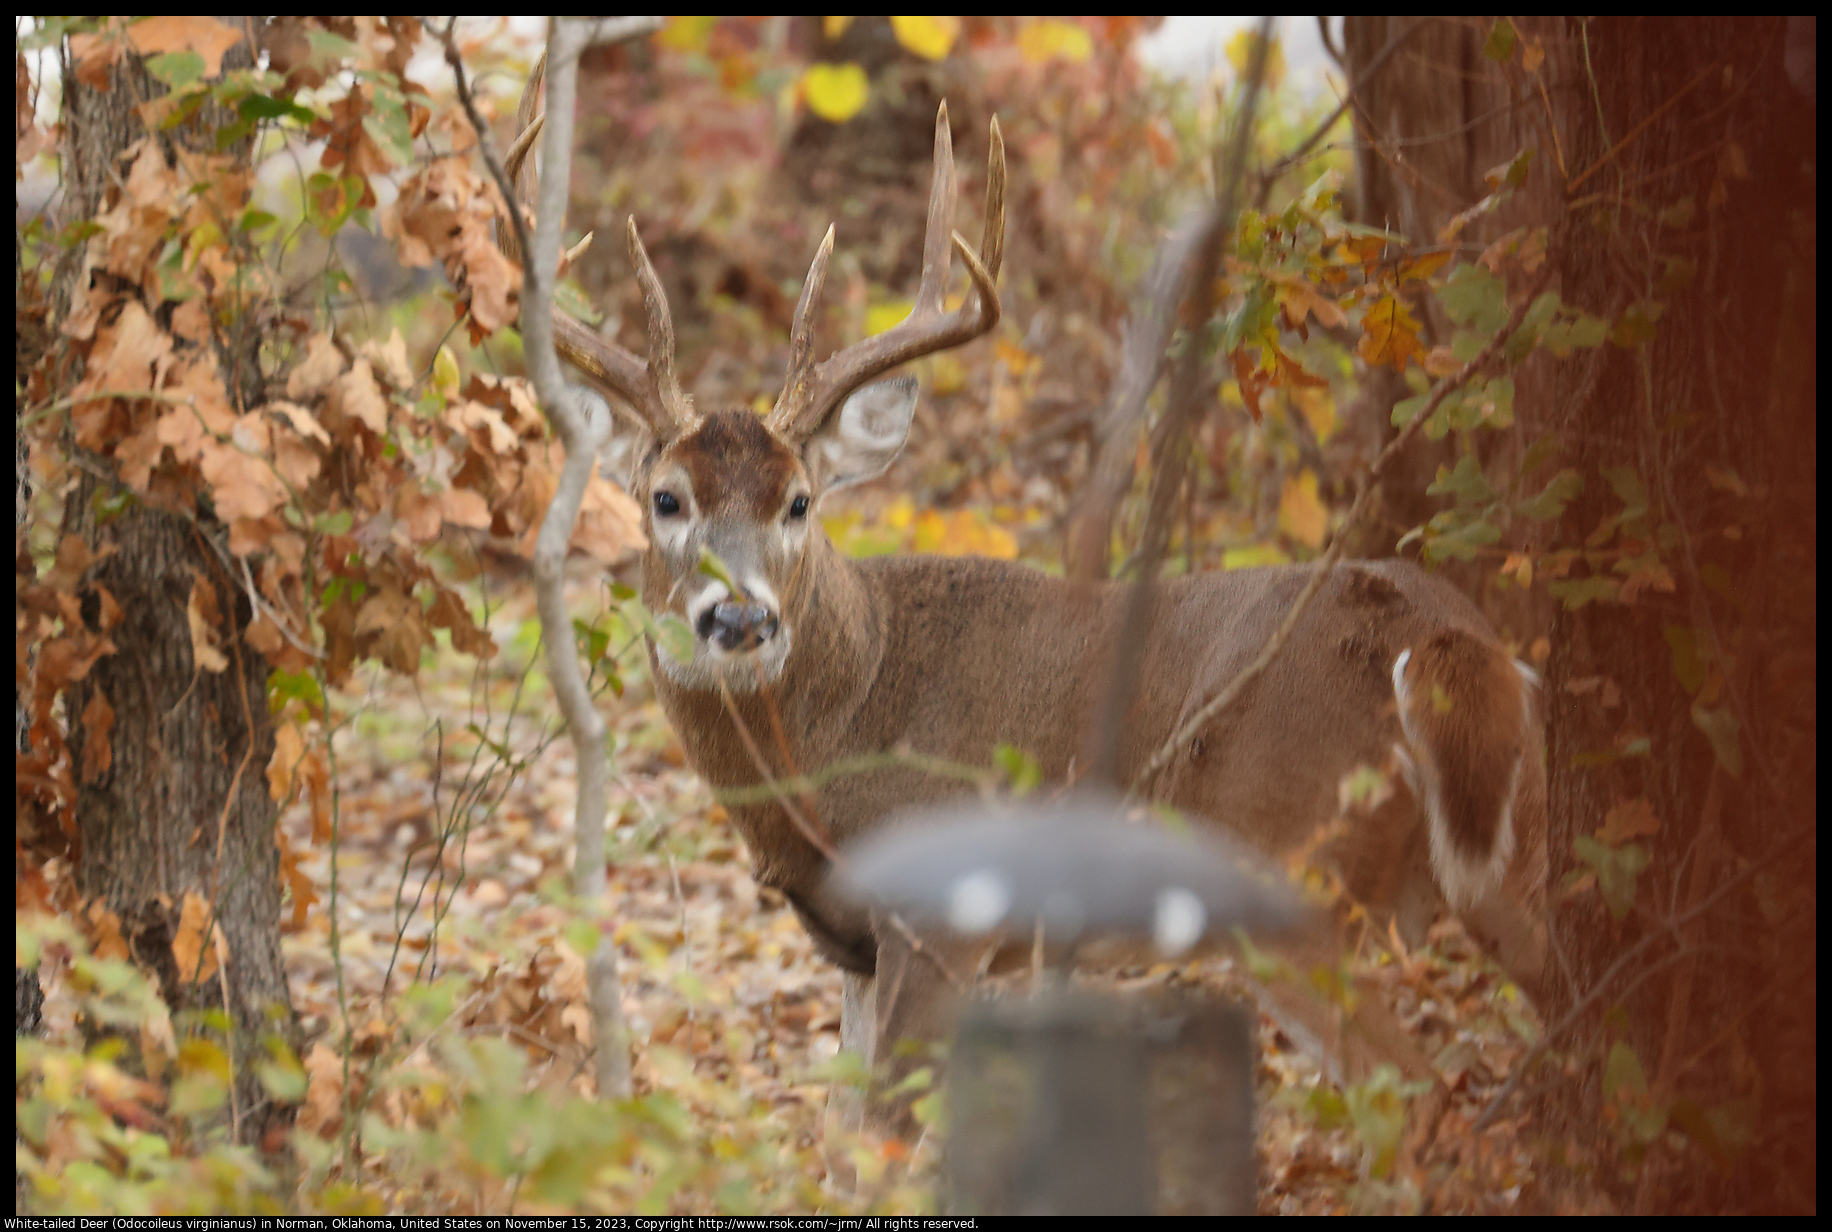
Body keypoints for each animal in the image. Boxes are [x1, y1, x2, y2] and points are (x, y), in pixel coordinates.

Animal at [501, 62, 1546, 1129]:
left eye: (800, 500)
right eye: (665, 497)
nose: (741, 616)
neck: (840, 741)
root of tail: (1445, 643)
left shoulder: (944, 919)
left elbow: (885, 1130)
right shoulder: (856, 953)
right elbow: (840, 1136)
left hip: (1291, 873)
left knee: (1415, 1091)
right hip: (1513, 859)